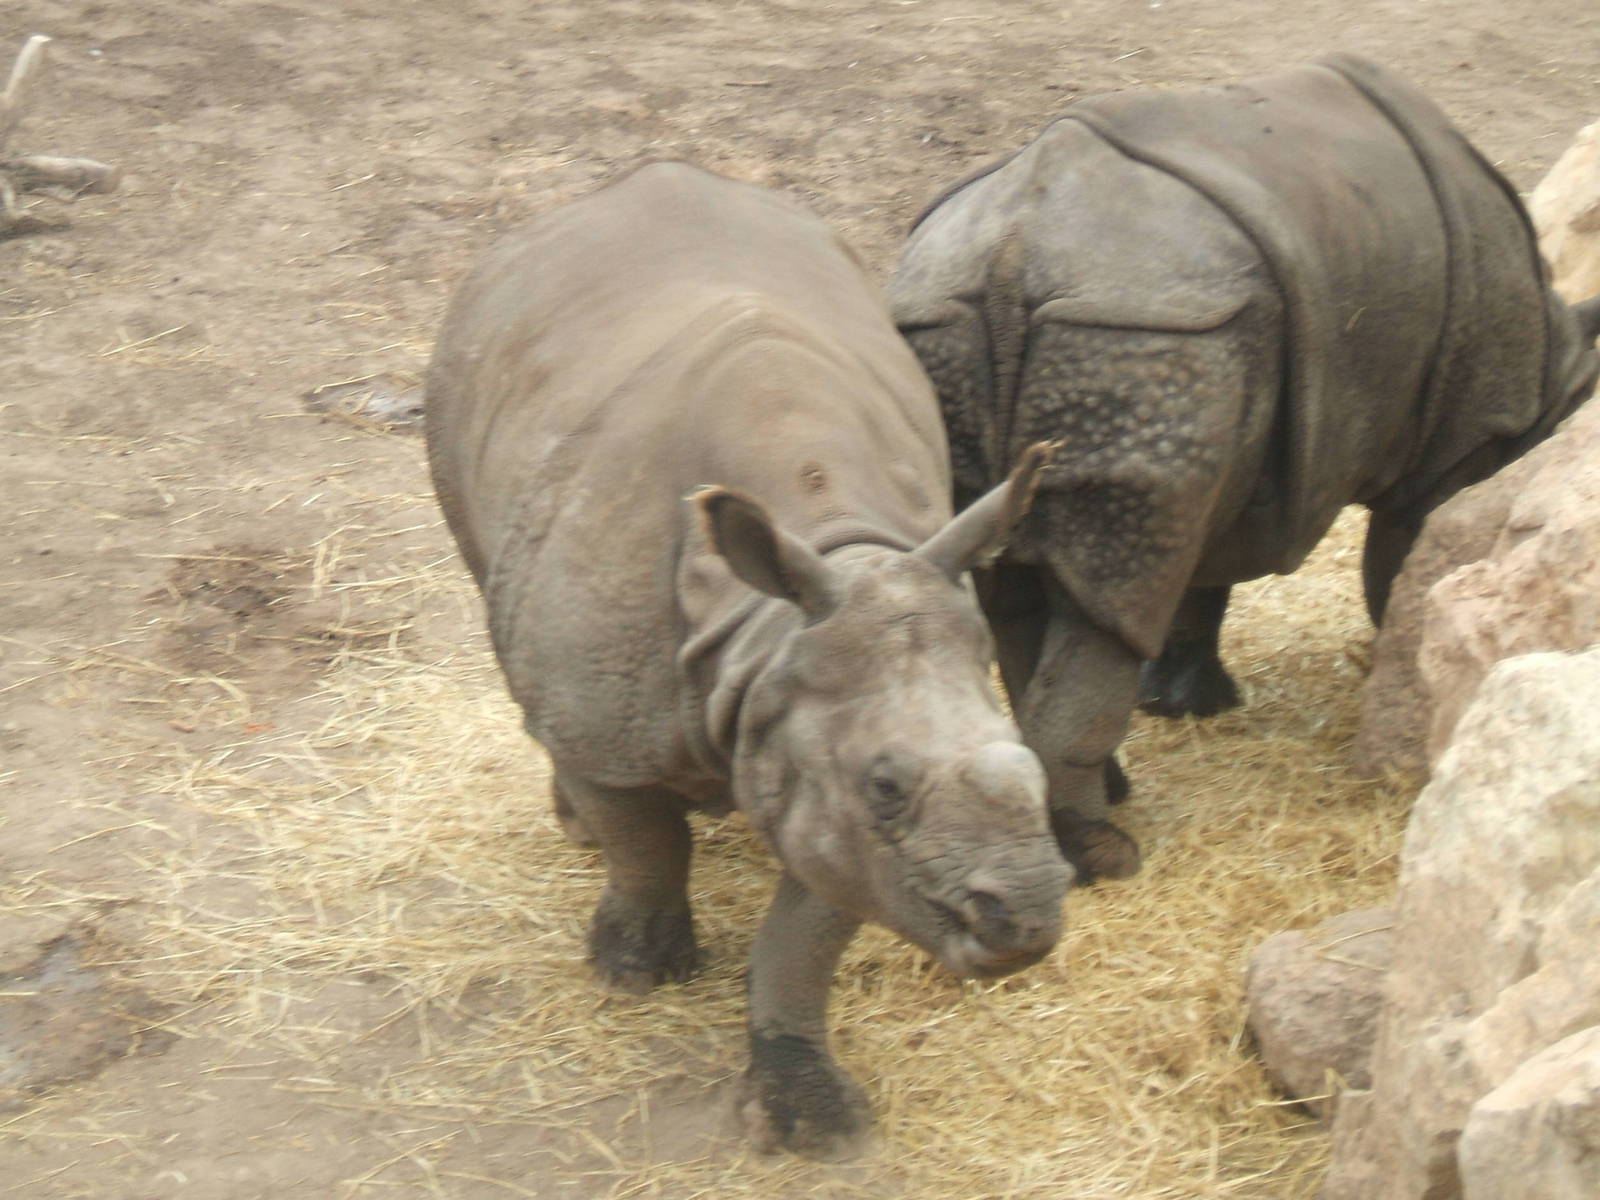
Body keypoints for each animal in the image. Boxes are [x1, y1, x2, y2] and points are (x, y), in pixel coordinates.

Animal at [425, 162, 1074, 1159]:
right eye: (889, 784)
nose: (1025, 922)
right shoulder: (640, 723)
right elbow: (645, 842)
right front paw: (636, 970)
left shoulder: (827, 783)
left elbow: (805, 938)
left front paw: (811, 1122)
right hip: (465, 380)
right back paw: (573, 823)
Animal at [890, 54, 1600, 873]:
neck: (1554, 363)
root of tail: (1011, 253)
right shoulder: (1460, 438)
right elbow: (1405, 565)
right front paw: (1406, 687)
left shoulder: (1231, 433)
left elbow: (1200, 581)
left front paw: (1188, 703)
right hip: (1146, 332)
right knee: (1098, 596)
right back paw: (1106, 856)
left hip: (993, 328)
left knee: (1033, 580)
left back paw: (1091, 820)